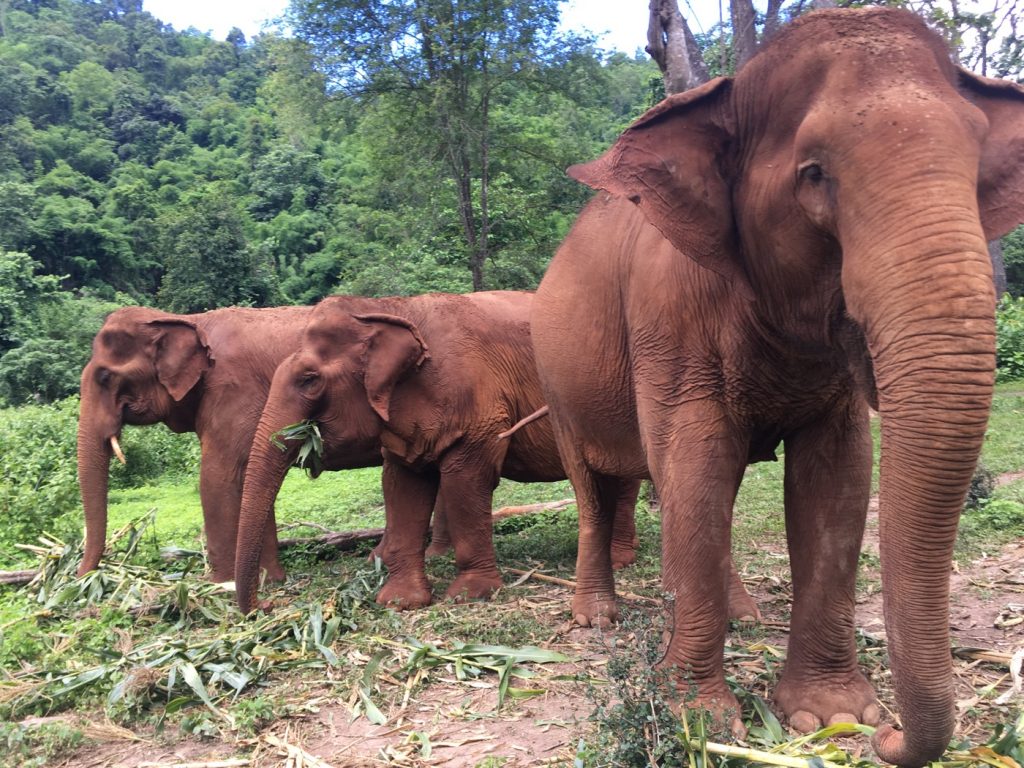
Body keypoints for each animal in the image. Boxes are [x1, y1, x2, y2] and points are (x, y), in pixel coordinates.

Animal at [76, 303, 311, 581]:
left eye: (104, 377)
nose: (78, 577)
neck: (188, 320)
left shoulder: (235, 390)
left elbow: (218, 478)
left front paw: (221, 584)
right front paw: (269, 579)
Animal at [231, 290, 651, 618]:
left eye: (309, 380)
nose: (267, 605)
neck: (390, 308)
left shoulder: (482, 406)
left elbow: (465, 479)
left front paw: (470, 595)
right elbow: (402, 487)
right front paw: (399, 602)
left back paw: (620, 560)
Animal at [528, 7, 1024, 768]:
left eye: (977, 170)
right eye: (814, 173)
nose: (889, 737)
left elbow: (837, 481)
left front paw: (831, 715)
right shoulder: (667, 318)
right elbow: (695, 463)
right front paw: (698, 718)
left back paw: (740, 614)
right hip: (555, 383)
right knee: (595, 489)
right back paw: (596, 620)